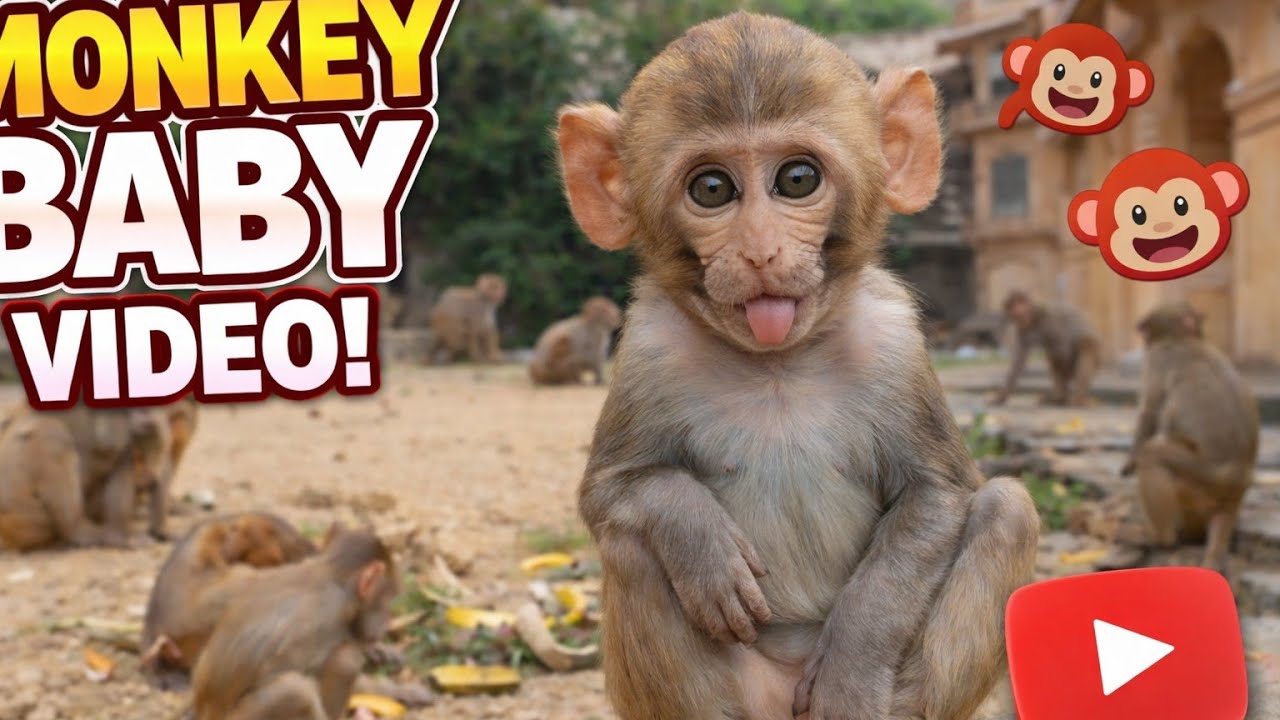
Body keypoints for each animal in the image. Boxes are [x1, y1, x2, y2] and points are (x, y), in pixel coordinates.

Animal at [555, 13, 1040, 720]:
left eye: (797, 179)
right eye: (711, 189)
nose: (760, 252)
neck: (777, 364)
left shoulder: (895, 342)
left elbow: (936, 494)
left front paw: (850, 669)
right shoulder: (647, 349)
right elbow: (613, 491)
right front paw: (700, 543)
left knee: (1007, 509)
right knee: (630, 545)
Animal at [1121, 302, 1258, 573]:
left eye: (1145, 329)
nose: (1142, 338)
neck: (1183, 337)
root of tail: (1237, 479)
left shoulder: (1158, 358)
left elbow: (1150, 412)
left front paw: (1129, 463)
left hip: (1198, 477)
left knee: (1152, 455)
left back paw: (1160, 538)